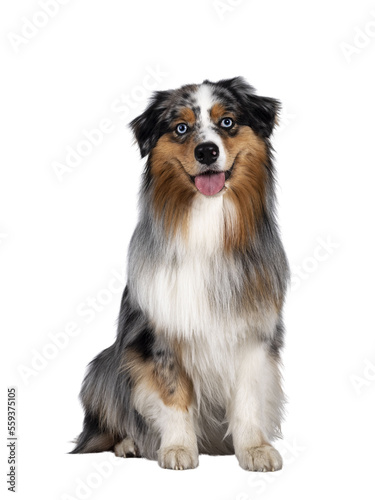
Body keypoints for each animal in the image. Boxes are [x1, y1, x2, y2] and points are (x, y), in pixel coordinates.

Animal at [72, 76, 290, 470]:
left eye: (227, 122)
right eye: (181, 128)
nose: (206, 152)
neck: (207, 218)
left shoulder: (254, 329)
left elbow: (249, 397)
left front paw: (254, 449)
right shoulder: (161, 332)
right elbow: (173, 394)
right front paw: (176, 448)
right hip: (103, 366)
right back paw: (129, 443)